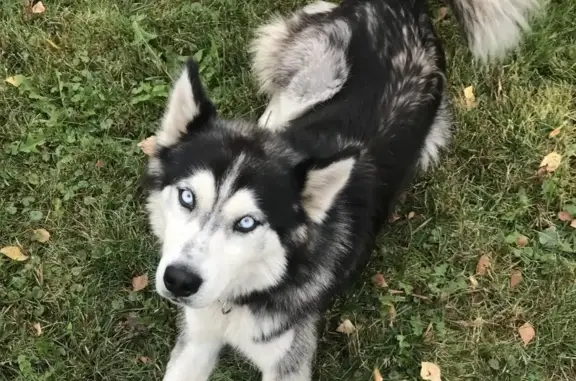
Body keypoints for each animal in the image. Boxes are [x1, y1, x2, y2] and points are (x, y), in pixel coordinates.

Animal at [144, 0, 540, 380]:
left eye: (247, 223)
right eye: (187, 197)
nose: (179, 280)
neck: (247, 294)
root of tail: (409, 6)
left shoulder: (289, 360)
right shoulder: (196, 341)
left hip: (430, 136)